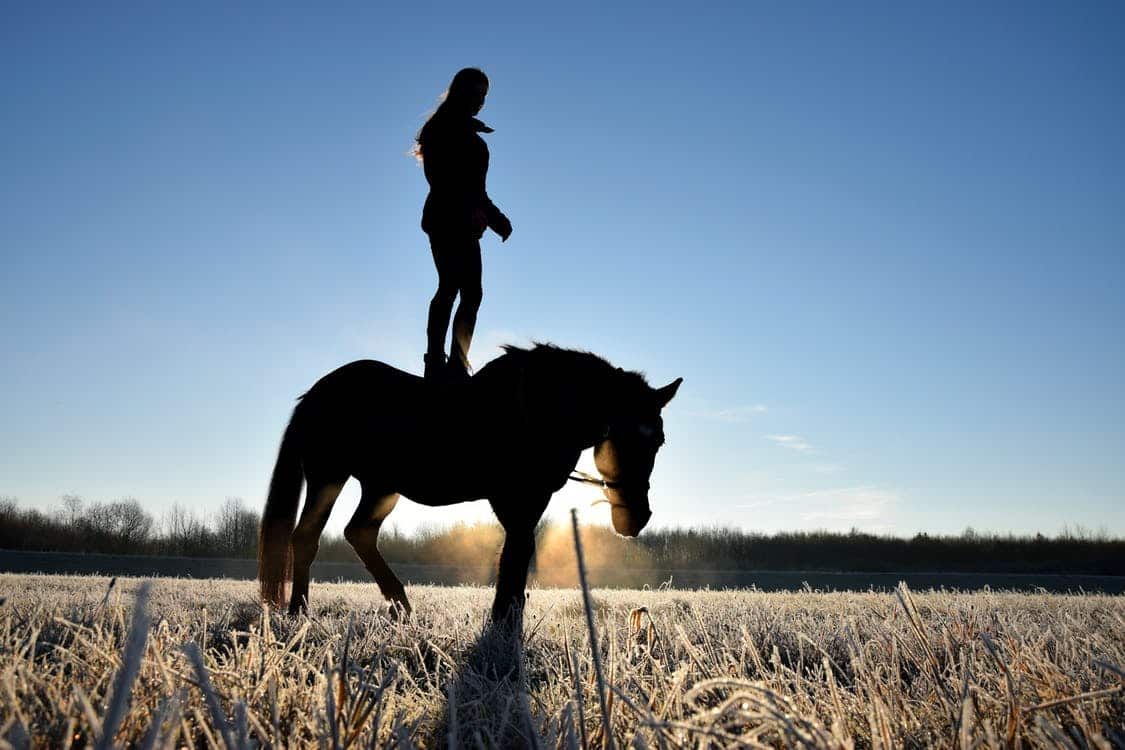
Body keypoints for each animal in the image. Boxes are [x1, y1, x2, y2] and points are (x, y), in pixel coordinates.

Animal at [257, 344, 681, 622]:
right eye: (614, 433)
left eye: (659, 440)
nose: (636, 517)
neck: (536, 410)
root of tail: (315, 394)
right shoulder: (514, 497)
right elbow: (515, 555)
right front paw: (503, 622)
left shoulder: (531, 499)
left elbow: (520, 554)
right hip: (329, 476)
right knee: (307, 536)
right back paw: (299, 610)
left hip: (381, 487)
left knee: (358, 532)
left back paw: (400, 605)